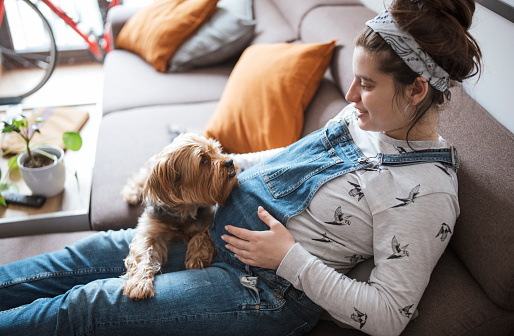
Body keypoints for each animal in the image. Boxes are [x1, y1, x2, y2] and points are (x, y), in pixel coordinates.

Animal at [120, 133, 238, 300]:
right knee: (142, 176)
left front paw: (197, 257)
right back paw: (133, 193)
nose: (230, 161)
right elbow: (143, 254)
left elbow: (204, 234)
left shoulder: (208, 219)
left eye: (218, 150)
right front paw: (139, 284)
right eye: (203, 161)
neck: (183, 210)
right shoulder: (150, 231)